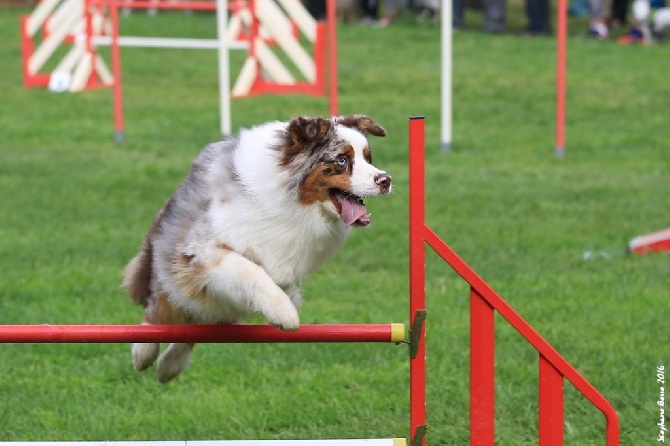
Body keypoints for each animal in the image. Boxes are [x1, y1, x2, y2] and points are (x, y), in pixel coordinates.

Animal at [122, 113, 394, 382]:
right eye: (341, 160)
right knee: (160, 308)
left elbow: (280, 283)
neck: (294, 203)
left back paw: (169, 367)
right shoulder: (204, 250)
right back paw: (143, 353)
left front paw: (286, 303)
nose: (386, 180)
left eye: (368, 158)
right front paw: (284, 313)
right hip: (169, 262)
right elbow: (251, 271)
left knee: (197, 324)